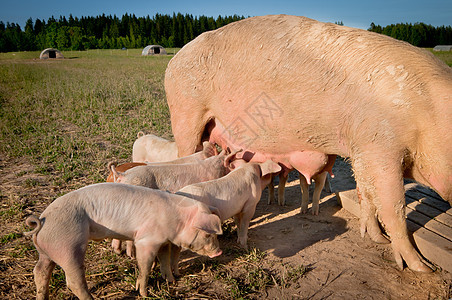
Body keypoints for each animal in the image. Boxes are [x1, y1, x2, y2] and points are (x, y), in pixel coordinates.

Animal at [165, 14, 452, 272]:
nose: (427, 268)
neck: (428, 115)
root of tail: (174, 60)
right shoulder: (380, 145)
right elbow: (395, 208)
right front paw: (422, 268)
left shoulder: (362, 150)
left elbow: (367, 195)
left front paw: (377, 239)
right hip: (185, 112)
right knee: (184, 152)